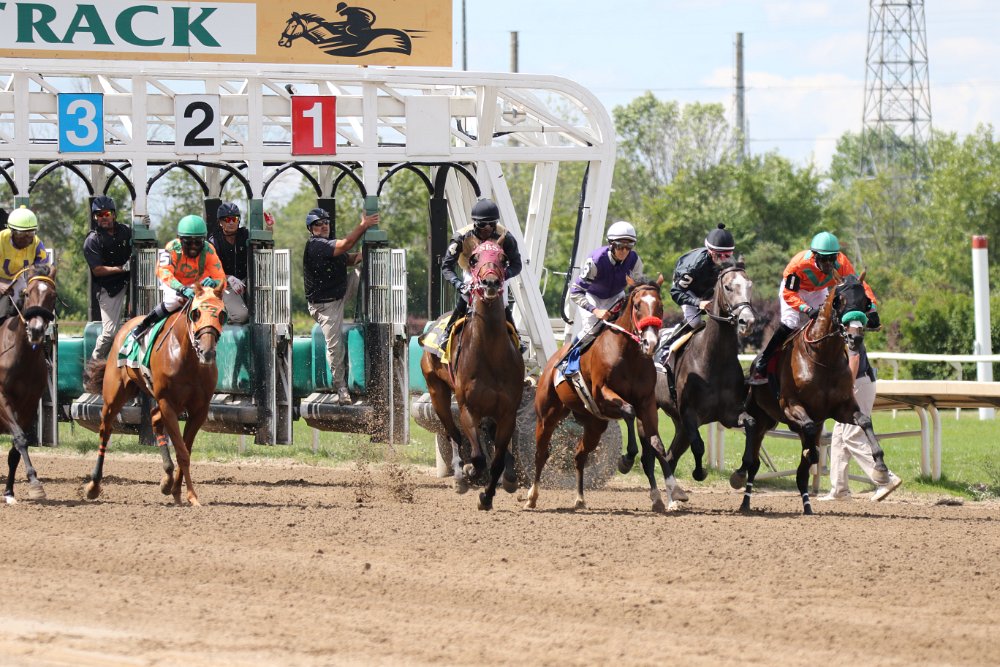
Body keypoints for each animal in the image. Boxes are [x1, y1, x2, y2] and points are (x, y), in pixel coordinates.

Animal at [82, 284, 226, 506]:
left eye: (221, 314)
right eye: (196, 314)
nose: (207, 352)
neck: (187, 358)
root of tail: (126, 325)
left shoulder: (199, 410)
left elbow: (185, 449)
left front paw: (177, 490)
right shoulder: (168, 402)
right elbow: (182, 452)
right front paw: (191, 495)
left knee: (154, 419)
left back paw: (167, 478)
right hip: (114, 395)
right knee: (105, 431)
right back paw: (94, 486)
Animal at [420, 241, 524, 510]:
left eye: (503, 258)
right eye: (475, 259)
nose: (490, 283)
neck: (490, 353)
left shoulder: (508, 411)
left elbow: (496, 460)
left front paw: (488, 496)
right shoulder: (468, 408)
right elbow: (478, 456)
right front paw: (470, 472)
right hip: (438, 393)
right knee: (452, 433)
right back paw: (459, 474)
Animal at [526, 276, 676, 512]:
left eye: (660, 306)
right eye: (637, 306)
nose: (650, 343)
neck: (629, 356)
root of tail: (551, 362)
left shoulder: (647, 403)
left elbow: (656, 443)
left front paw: (672, 494)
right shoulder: (602, 394)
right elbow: (629, 411)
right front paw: (626, 459)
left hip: (594, 425)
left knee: (579, 455)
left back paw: (579, 498)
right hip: (547, 416)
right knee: (541, 454)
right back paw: (532, 496)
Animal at [621, 263, 756, 505]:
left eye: (750, 285)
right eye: (729, 287)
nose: (746, 321)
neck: (714, 359)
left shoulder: (729, 413)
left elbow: (750, 423)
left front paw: (739, 474)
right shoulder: (690, 414)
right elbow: (699, 445)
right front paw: (699, 472)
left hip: (678, 423)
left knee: (671, 455)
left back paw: (673, 495)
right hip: (649, 409)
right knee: (650, 455)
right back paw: (658, 495)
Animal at [732, 273, 888, 514]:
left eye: (866, 302)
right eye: (840, 301)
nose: (855, 338)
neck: (824, 358)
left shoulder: (841, 407)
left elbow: (864, 421)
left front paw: (880, 467)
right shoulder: (791, 405)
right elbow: (809, 430)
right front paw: (812, 454)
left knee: (799, 472)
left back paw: (807, 506)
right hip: (760, 417)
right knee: (753, 458)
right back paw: (744, 494)